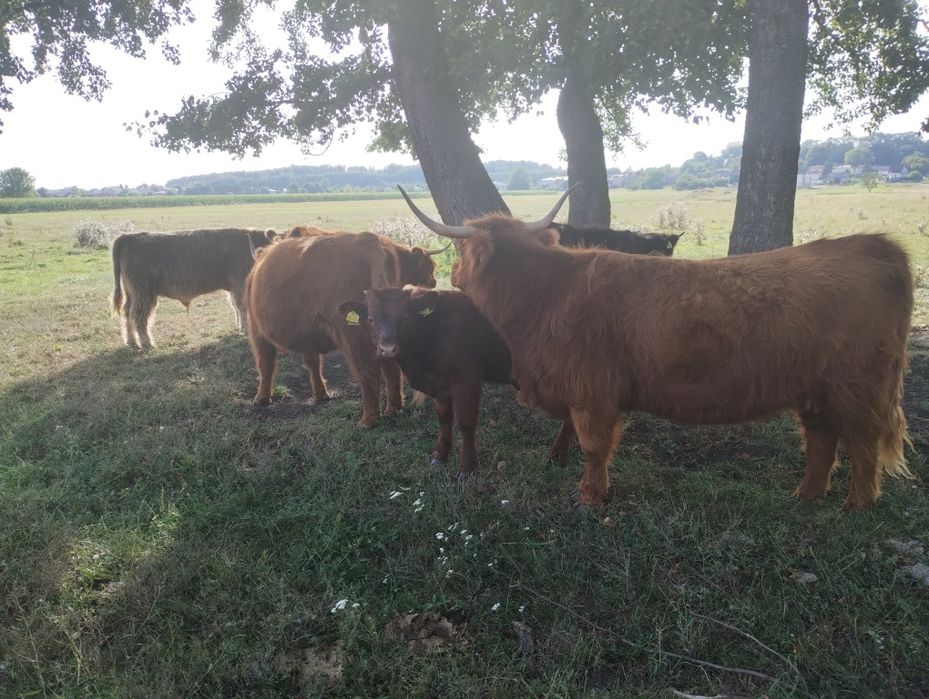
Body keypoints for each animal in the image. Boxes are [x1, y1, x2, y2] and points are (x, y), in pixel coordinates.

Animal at [111, 228, 277, 350]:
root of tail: (129, 237)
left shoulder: (234, 288)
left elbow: (236, 307)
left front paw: (241, 328)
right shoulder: (240, 284)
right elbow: (243, 307)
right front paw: (247, 331)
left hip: (132, 292)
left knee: (126, 312)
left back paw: (131, 341)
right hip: (143, 292)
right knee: (138, 315)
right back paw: (146, 343)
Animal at [246, 231, 442, 427]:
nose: (434, 281)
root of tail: (368, 239)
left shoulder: (256, 329)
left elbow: (265, 364)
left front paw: (261, 398)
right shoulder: (308, 334)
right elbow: (312, 362)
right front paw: (321, 394)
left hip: (352, 332)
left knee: (368, 370)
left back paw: (367, 420)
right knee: (390, 367)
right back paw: (393, 410)